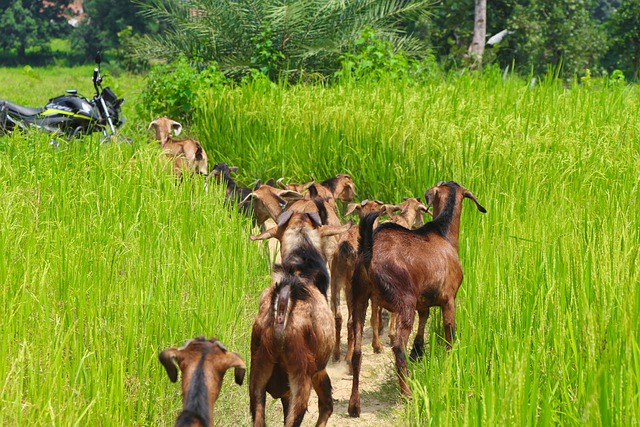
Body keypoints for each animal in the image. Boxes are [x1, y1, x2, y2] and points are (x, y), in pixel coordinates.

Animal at [350, 182, 484, 416]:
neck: (443, 233)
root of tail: (368, 254)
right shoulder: (449, 298)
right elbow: (450, 332)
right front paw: (450, 361)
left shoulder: (423, 299)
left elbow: (424, 318)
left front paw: (418, 351)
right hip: (404, 301)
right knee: (397, 346)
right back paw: (408, 393)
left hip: (359, 298)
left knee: (357, 353)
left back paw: (354, 405)